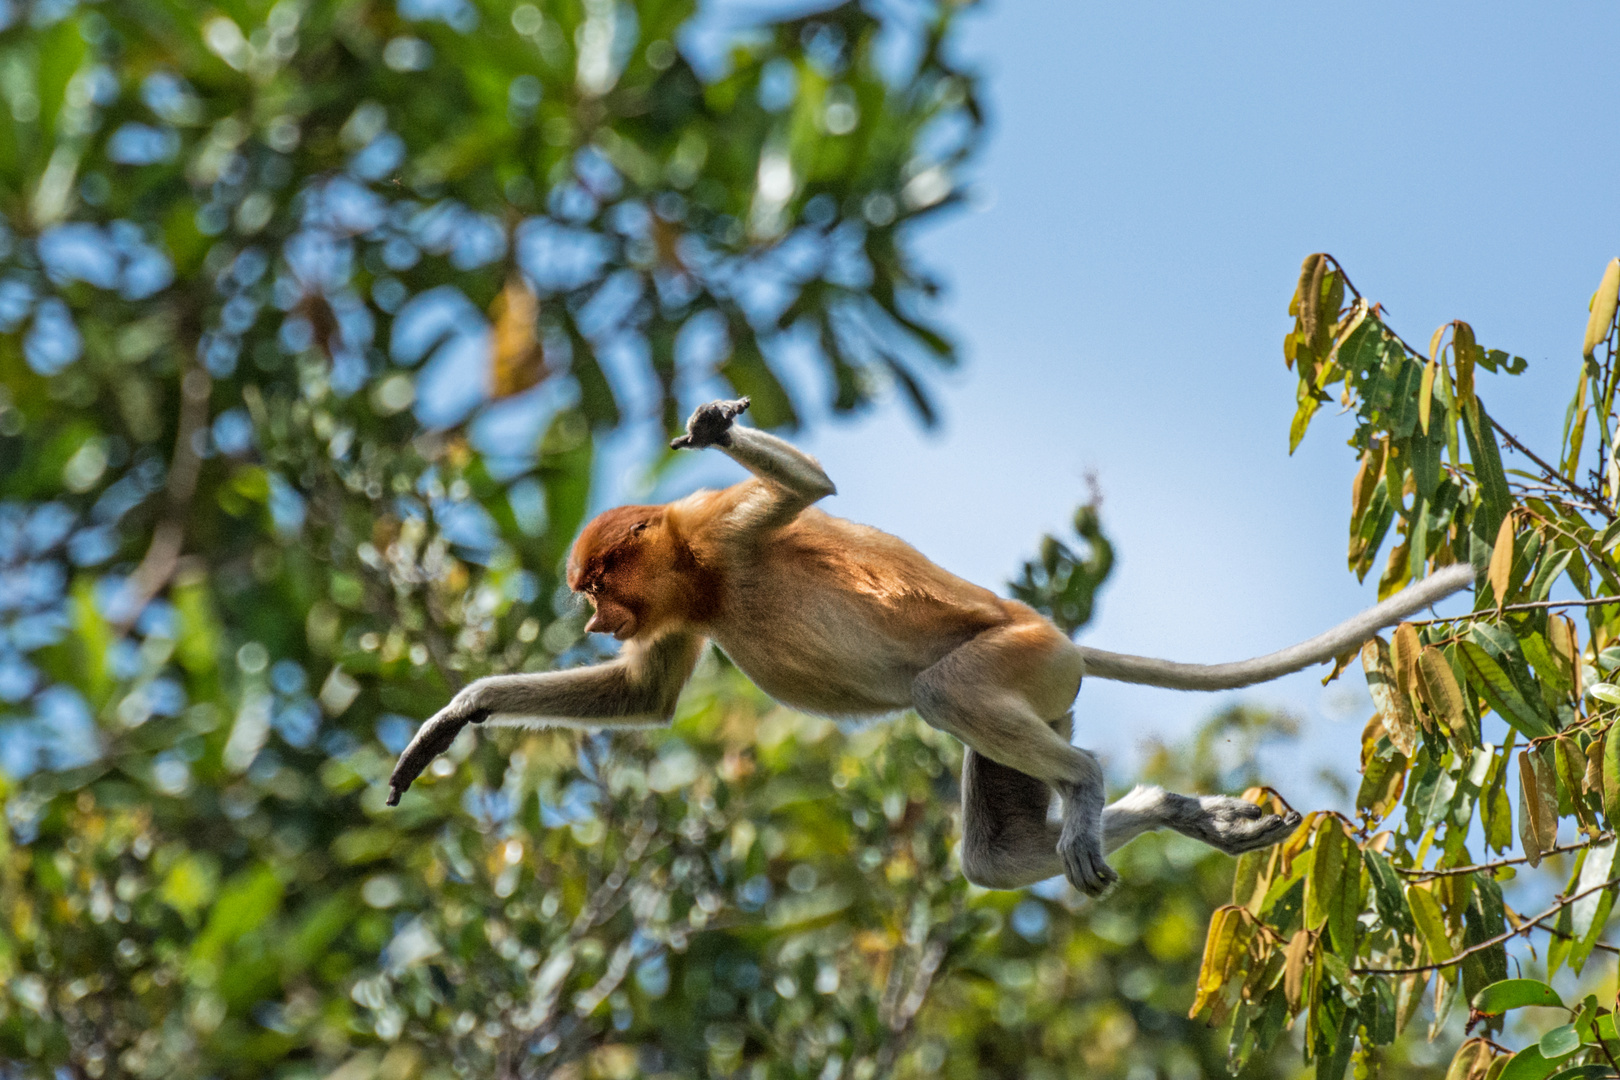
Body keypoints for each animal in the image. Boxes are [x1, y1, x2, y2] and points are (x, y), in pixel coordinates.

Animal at [385, 401, 1477, 893]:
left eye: (599, 584)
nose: (590, 620)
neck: (700, 572)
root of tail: (1063, 636)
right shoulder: (685, 599)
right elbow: (644, 700)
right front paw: (458, 715)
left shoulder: (720, 524)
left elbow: (808, 490)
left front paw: (712, 423)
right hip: (1040, 695)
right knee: (995, 855)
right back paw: (1177, 812)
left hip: (1018, 660)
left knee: (949, 695)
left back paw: (1088, 783)